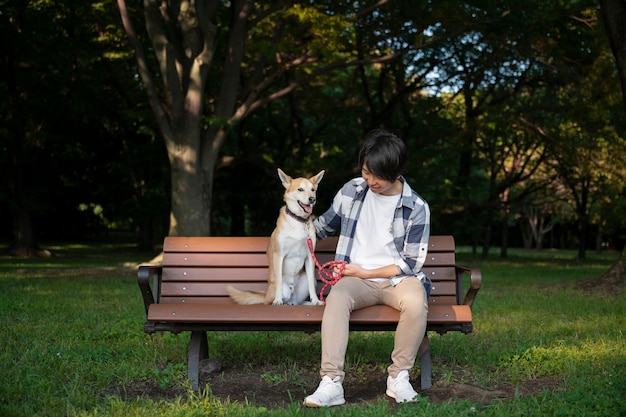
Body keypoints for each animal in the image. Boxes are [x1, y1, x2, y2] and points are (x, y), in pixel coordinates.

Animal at [225, 167, 324, 306]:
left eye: (313, 190)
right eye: (300, 189)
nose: (312, 199)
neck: (299, 220)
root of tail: (265, 295)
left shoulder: (310, 256)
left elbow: (311, 283)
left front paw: (315, 300)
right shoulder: (279, 255)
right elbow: (278, 282)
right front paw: (278, 300)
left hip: (303, 286)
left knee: (300, 299)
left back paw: (306, 303)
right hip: (279, 292)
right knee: (277, 297)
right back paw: (279, 301)